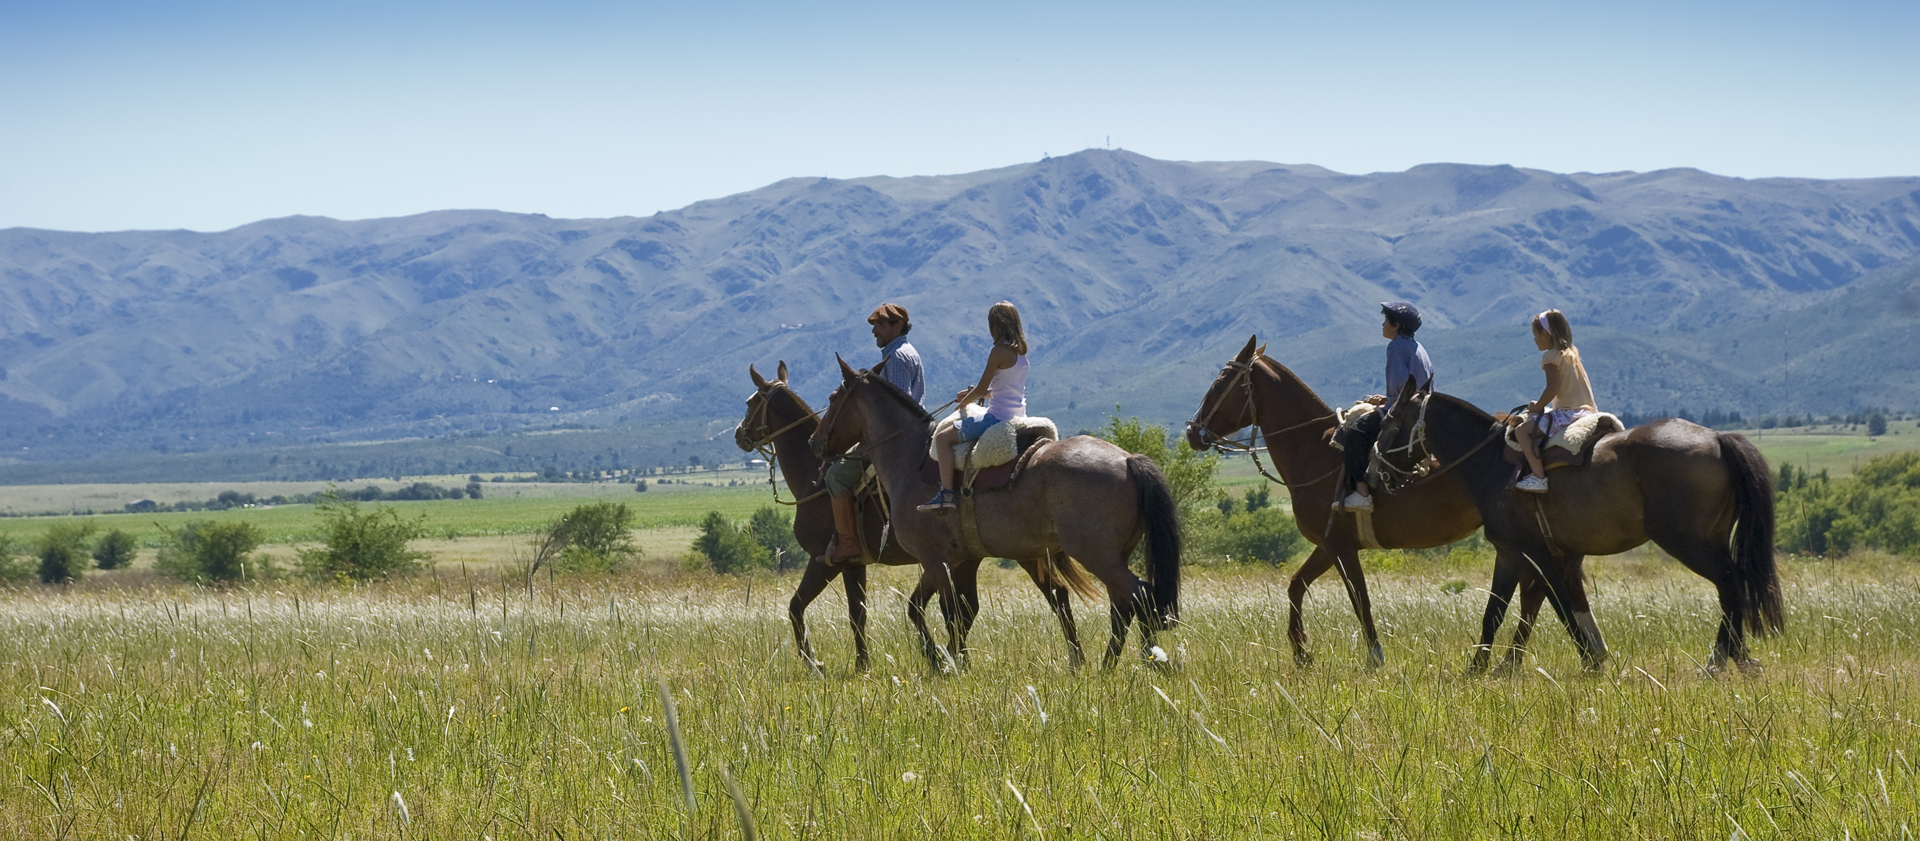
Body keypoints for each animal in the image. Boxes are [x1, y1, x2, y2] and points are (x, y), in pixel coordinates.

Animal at [802, 355, 1175, 672]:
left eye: (834, 397)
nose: (813, 442)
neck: (910, 459)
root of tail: (1127, 459)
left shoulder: (933, 557)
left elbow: (947, 611)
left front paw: (945, 662)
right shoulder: (958, 559)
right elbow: (936, 608)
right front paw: (950, 660)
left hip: (1096, 554)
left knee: (1140, 597)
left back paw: (1148, 661)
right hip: (1111, 555)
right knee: (1122, 604)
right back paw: (1109, 664)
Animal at [1175, 337, 1489, 668]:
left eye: (1220, 383)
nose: (1192, 431)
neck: (1313, 449)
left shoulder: (1341, 546)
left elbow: (1359, 598)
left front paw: (1374, 656)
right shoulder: (1327, 545)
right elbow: (1296, 585)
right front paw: (1301, 650)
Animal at [1382, 384, 1781, 672]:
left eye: (1389, 422)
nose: (1378, 470)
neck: (1492, 464)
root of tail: (1718, 439)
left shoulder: (1535, 554)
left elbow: (1560, 607)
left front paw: (1591, 662)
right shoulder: (1512, 554)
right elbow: (1494, 612)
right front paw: (1477, 668)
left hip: (1687, 541)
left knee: (1729, 582)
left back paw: (1720, 659)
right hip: (1710, 539)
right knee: (1734, 585)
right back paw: (1737, 657)